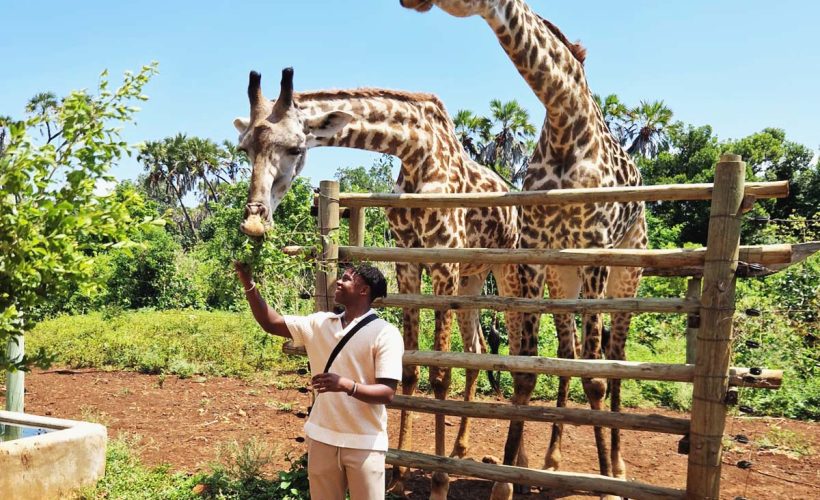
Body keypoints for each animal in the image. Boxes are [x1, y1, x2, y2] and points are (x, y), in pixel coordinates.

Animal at [235, 68, 522, 499]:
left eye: (295, 148)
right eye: (244, 148)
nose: (255, 221)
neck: (418, 153)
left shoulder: (444, 260)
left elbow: (440, 376)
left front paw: (438, 483)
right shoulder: (408, 260)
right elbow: (410, 371)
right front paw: (400, 473)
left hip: (504, 267)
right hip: (472, 277)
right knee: (475, 351)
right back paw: (463, 450)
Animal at [400, 1, 647, 498]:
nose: (408, 3)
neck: (565, 124)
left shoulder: (595, 248)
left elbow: (594, 377)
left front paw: (608, 481)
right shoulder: (537, 253)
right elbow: (527, 367)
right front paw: (507, 482)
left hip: (625, 273)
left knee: (612, 362)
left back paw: (617, 467)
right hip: (563, 278)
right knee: (571, 355)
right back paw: (554, 462)